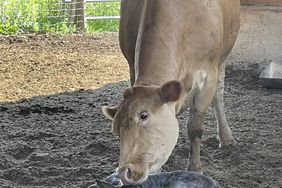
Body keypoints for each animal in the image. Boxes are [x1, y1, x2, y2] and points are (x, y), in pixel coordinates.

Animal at [102, 0, 239, 185]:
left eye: (143, 115)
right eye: (116, 130)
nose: (124, 172)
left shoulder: (208, 77)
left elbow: (194, 129)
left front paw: (195, 168)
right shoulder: (131, 67)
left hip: (223, 57)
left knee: (219, 93)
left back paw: (226, 137)